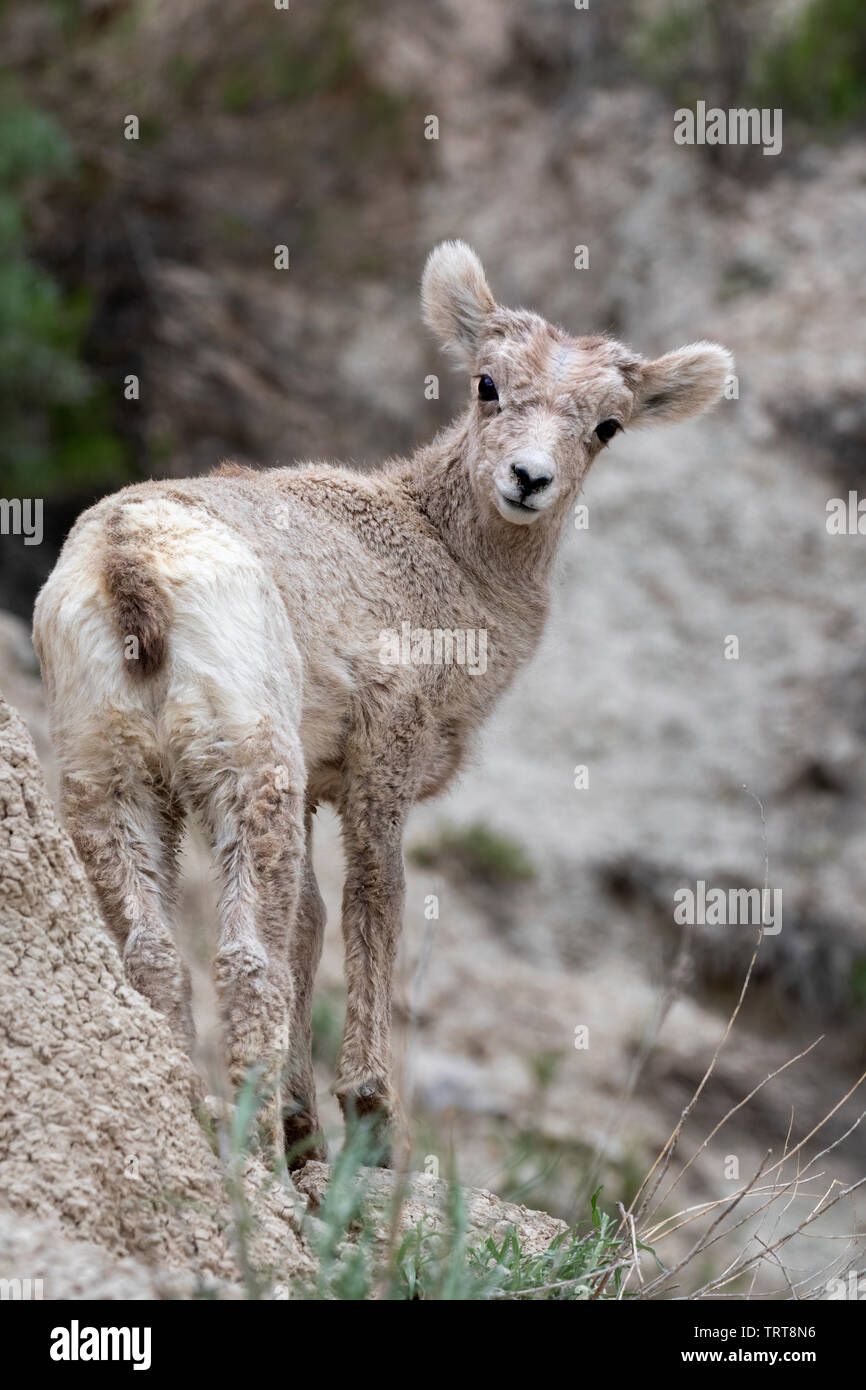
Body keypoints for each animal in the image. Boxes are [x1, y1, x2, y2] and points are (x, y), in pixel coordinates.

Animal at [32, 241, 732, 1167]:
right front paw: (365, 1117)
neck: (441, 564)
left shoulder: (315, 783)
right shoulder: (379, 767)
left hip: (109, 781)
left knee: (153, 954)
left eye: (606, 425)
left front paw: (308, 1132)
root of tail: (129, 563)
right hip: (246, 771)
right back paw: (257, 1156)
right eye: (486, 384)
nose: (529, 479)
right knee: (243, 960)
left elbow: (310, 924)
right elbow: (373, 905)